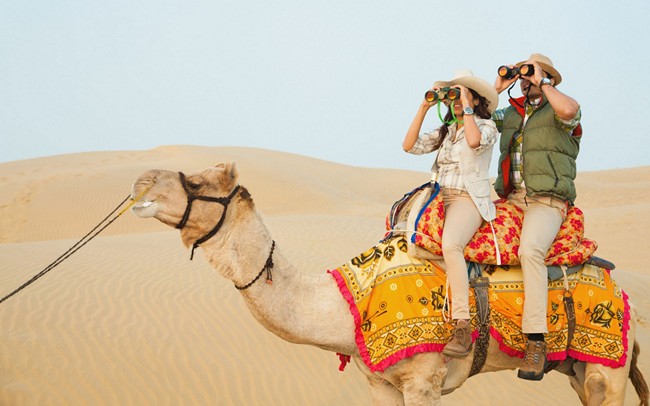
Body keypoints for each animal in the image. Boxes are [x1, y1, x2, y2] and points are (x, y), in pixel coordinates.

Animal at [131, 162, 648, 406]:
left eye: (197, 182)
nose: (141, 182)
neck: (346, 305)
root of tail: (622, 293)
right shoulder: (380, 383)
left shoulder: (425, 380)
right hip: (578, 371)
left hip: (608, 370)